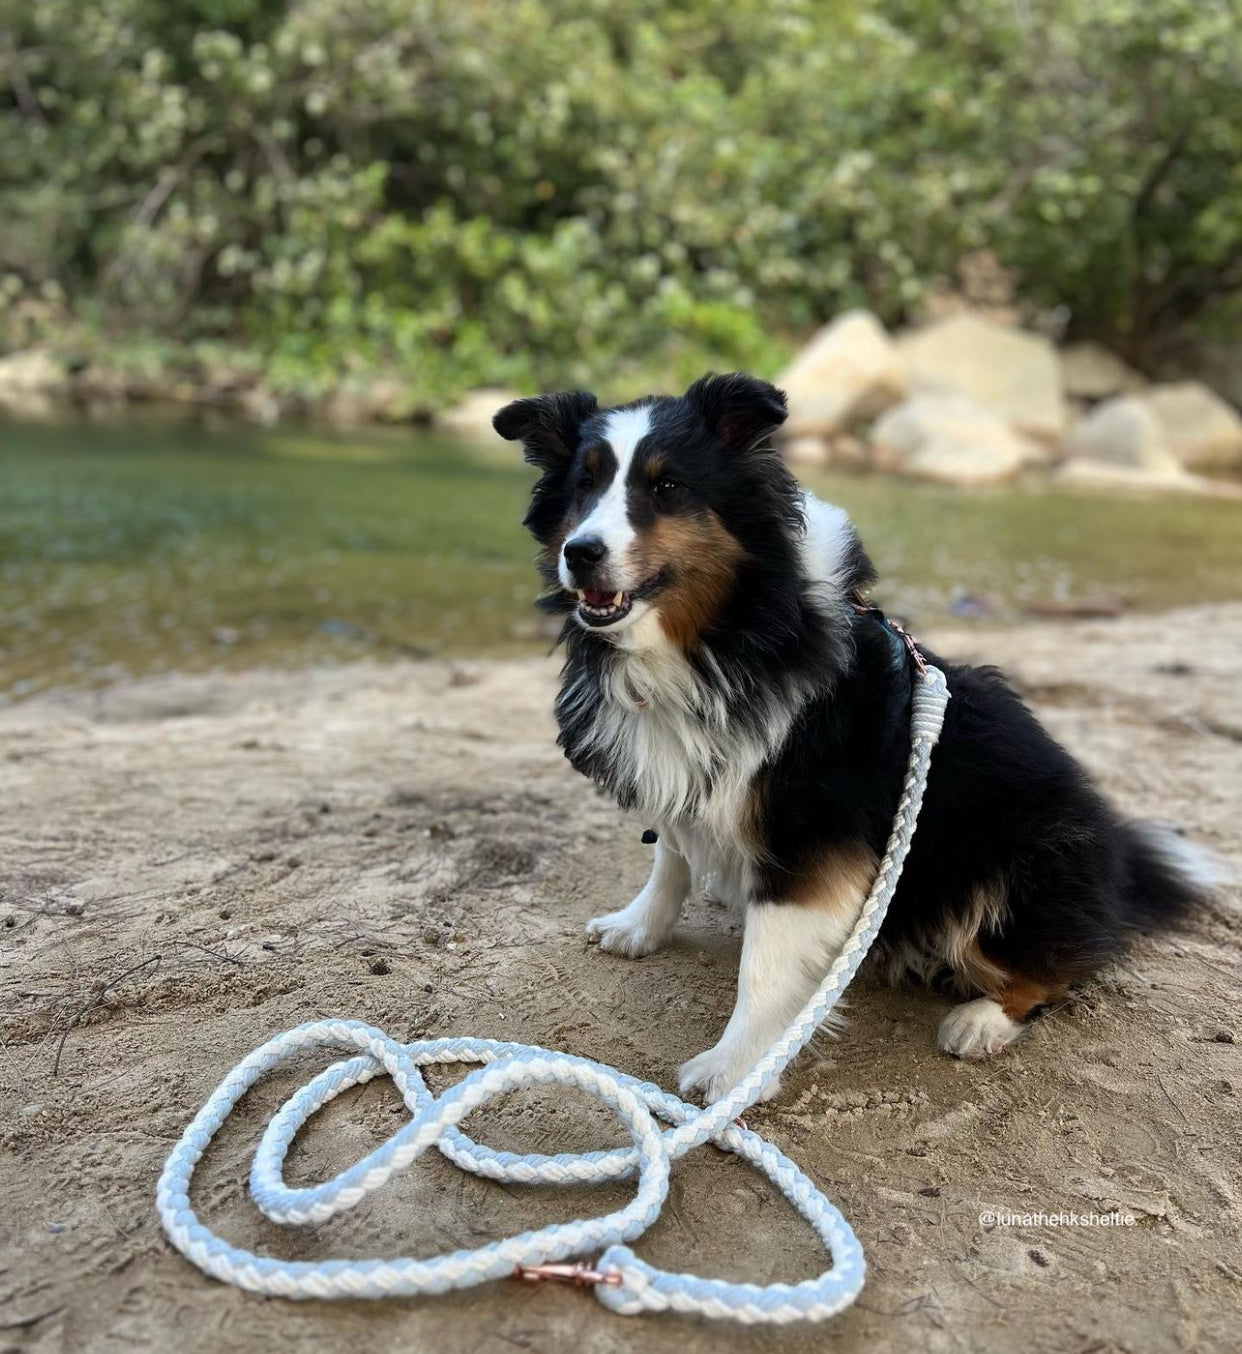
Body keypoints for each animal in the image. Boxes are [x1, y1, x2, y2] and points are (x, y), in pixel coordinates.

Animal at [493, 376, 1213, 1104]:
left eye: (667, 487)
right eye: (584, 487)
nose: (580, 553)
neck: (729, 631)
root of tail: (1117, 859)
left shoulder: (812, 834)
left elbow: (764, 963)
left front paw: (738, 1068)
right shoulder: (695, 768)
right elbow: (670, 852)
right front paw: (639, 927)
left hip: (1014, 861)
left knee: (1062, 965)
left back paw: (981, 1020)